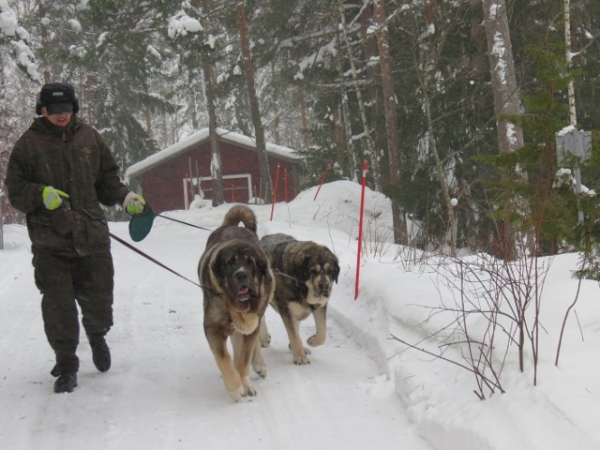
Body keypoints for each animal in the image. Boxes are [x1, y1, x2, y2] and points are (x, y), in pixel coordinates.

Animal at [198, 205, 276, 400]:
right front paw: (234, 388)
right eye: (230, 263)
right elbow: (223, 358)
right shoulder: (213, 328)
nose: (241, 274)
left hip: (253, 321)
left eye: (250, 263)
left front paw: (245, 384)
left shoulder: (251, 325)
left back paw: (259, 365)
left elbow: (244, 359)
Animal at [260, 234, 340, 364]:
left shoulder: (320, 306)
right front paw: (300, 356)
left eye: (330, 270)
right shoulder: (287, 309)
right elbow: (294, 335)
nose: (324, 286)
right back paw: (263, 338)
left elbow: (322, 333)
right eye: (313, 271)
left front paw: (311, 341)